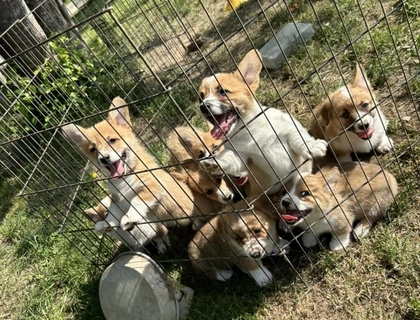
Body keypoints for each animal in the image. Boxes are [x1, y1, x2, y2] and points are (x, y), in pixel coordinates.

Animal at [62, 97, 205, 252]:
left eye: (112, 140)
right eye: (93, 149)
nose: (104, 158)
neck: (125, 178)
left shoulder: (152, 187)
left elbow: (137, 201)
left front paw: (129, 218)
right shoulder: (117, 199)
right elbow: (113, 213)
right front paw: (104, 224)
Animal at [198, 49, 328, 195]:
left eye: (222, 91)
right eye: (200, 97)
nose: (203, 106)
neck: (248, 129)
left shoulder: (289, 127)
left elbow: (298, 138)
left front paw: (312, 145)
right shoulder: (241, 157)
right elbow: (228, 158)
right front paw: (214, 162)